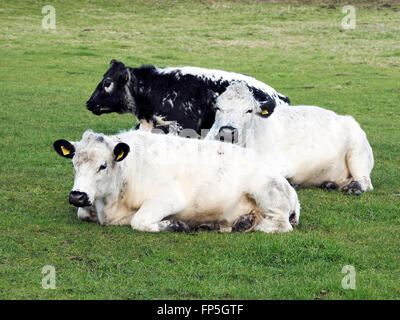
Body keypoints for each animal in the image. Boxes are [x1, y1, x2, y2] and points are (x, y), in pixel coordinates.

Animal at [54, 129, 302, 232]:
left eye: (103, 166)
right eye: (73, 164)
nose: (77, 196)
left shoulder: (170, 198)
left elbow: (139, 221)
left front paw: (174, 224)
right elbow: (82, 213)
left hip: (268, 192)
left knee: (280, 225)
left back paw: (245, 224)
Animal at [206, 82, 376, 195]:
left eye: (249, 110)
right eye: (218, 108)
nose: (227, 132)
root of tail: (347, 119)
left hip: (357, 153)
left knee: (365, 181)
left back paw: (354, 188)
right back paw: (330, 184)